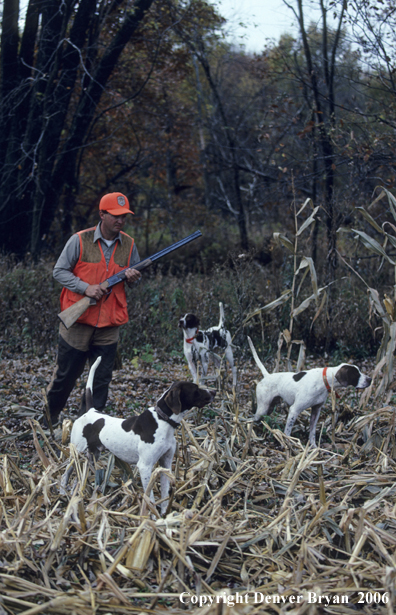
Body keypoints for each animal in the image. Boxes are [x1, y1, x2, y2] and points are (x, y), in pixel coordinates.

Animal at [61, 356, 215, 516]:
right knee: (65, 473)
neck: (162, 420)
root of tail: (90, 411)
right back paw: (63, 493)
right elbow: (150, 496)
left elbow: (165, 492)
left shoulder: (165, 463)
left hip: (93, 454)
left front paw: (164, 513)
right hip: (75, 453)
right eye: (196, 390)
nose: (214, 392)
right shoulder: (145, 467)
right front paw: (151, 515)